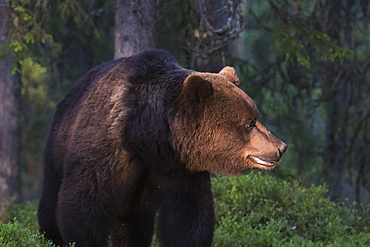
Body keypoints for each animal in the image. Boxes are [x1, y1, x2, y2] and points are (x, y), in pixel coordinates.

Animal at [37, 49, 286, 246]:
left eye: (255, 116)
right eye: (249, 123)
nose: (281, 147)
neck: (149, 139)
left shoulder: (181, 170)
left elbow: (189, 218)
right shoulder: (107, 152)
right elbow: (84, 209)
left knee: (134, 225)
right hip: (57, 145)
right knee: (50, 202)